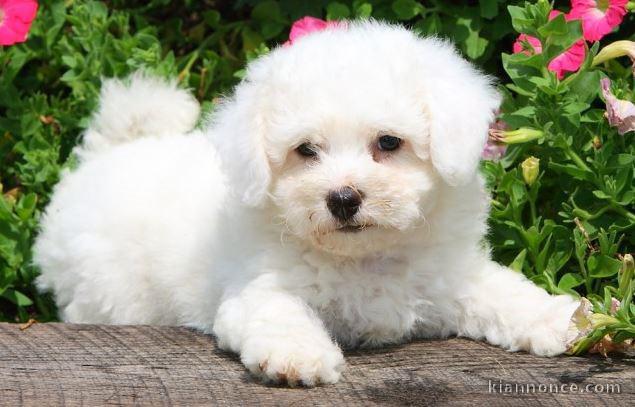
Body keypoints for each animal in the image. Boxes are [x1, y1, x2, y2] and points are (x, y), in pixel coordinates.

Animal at [34, 20, 580, 388]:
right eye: (305, 151)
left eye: (388, 142)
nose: (342, 198)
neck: (365, 258)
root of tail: (108, 151)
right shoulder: (257, 287)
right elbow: (279, 313)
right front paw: (299, 357)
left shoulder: (451, 274)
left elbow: (501, 291)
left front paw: (559, 319)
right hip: (103, 292)